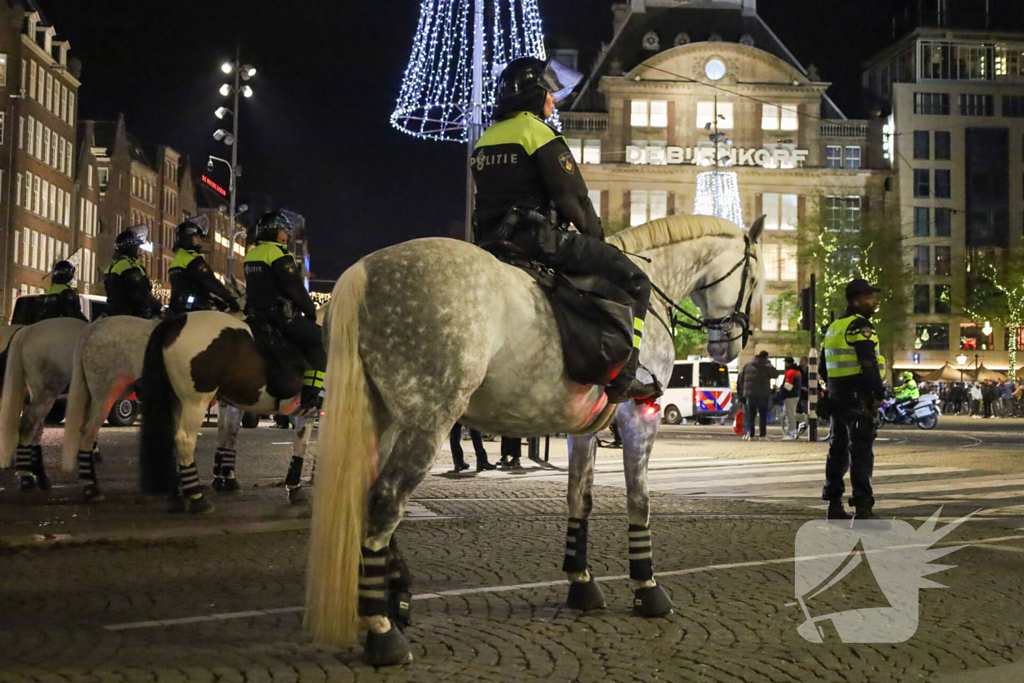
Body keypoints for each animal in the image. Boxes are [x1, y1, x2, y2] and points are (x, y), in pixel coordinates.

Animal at [0, 317, 89, 489]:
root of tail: (27, 330)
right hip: (46, 392)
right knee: (29, 425)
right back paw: (26, 476)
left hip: (40, 393)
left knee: (36, 428)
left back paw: (37, 474)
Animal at [135, 309, 327, 511]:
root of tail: (177, 321)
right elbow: (303, 447)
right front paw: (298, 486)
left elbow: (228, 436)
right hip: (196, 401)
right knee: (185, 439)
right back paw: (197, 497)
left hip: (178, 401)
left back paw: (178, 493)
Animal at [299, 211, 765, 663]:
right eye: (756, 277)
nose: (731, 345)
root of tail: (364, 270)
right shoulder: (639, 415)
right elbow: (639, 501)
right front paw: (647, 588)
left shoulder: (583, 430)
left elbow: (580, 498)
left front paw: (581, 582)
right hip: (430, 417)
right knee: (386, 500)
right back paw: (382, 632)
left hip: (385, 416)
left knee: (370, 496)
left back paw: (397, 598)